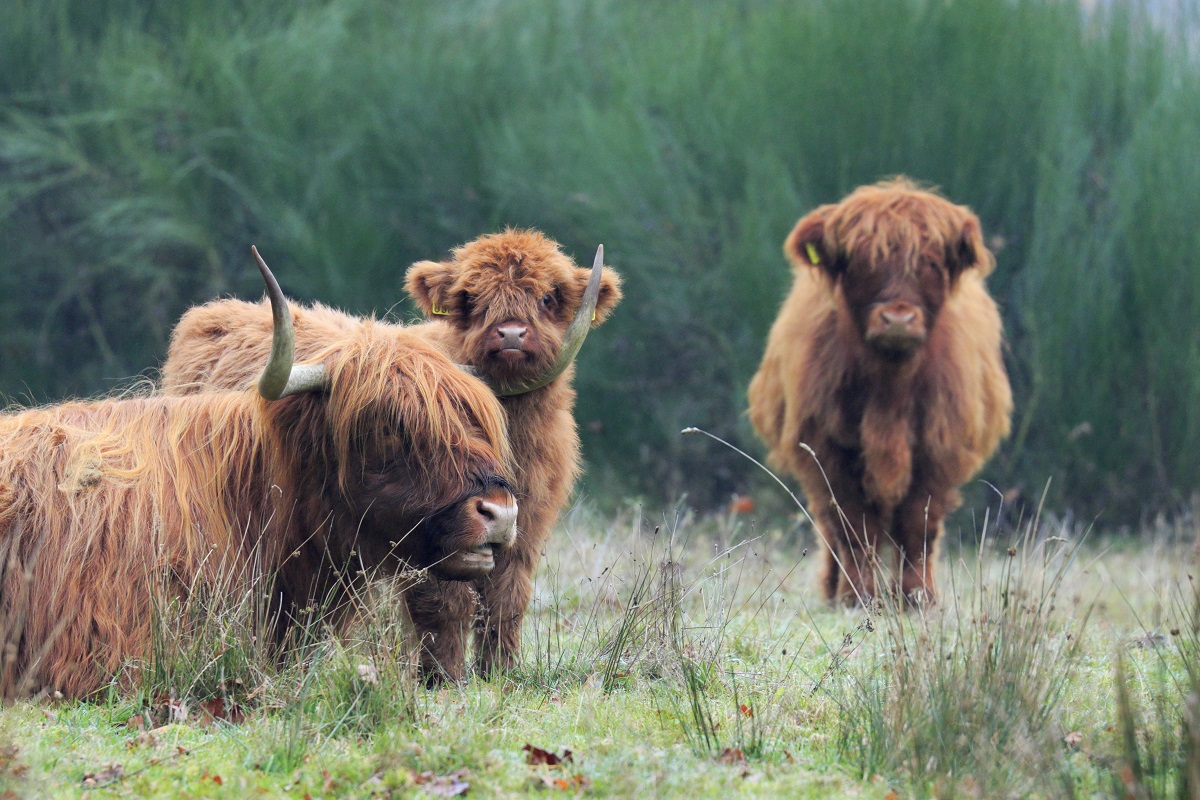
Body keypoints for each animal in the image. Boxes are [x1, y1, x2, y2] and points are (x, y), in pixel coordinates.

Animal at [160, 227, 624, 681]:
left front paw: (500, 675)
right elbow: (446, 604)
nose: (511, 333)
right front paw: (443, 678)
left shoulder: (522, 527)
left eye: (547, 298)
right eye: (469, 299)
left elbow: (505, 602)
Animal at [748, 179, 1012, 606]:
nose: (898, 318)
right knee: (830, 527)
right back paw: (832, 587)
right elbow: (854, 525)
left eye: (932, 262)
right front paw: (857, 596)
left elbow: (918, 525)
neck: (891, 388)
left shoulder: (936, 448)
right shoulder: (830, 450)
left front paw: (917, 596)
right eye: (861, 262)